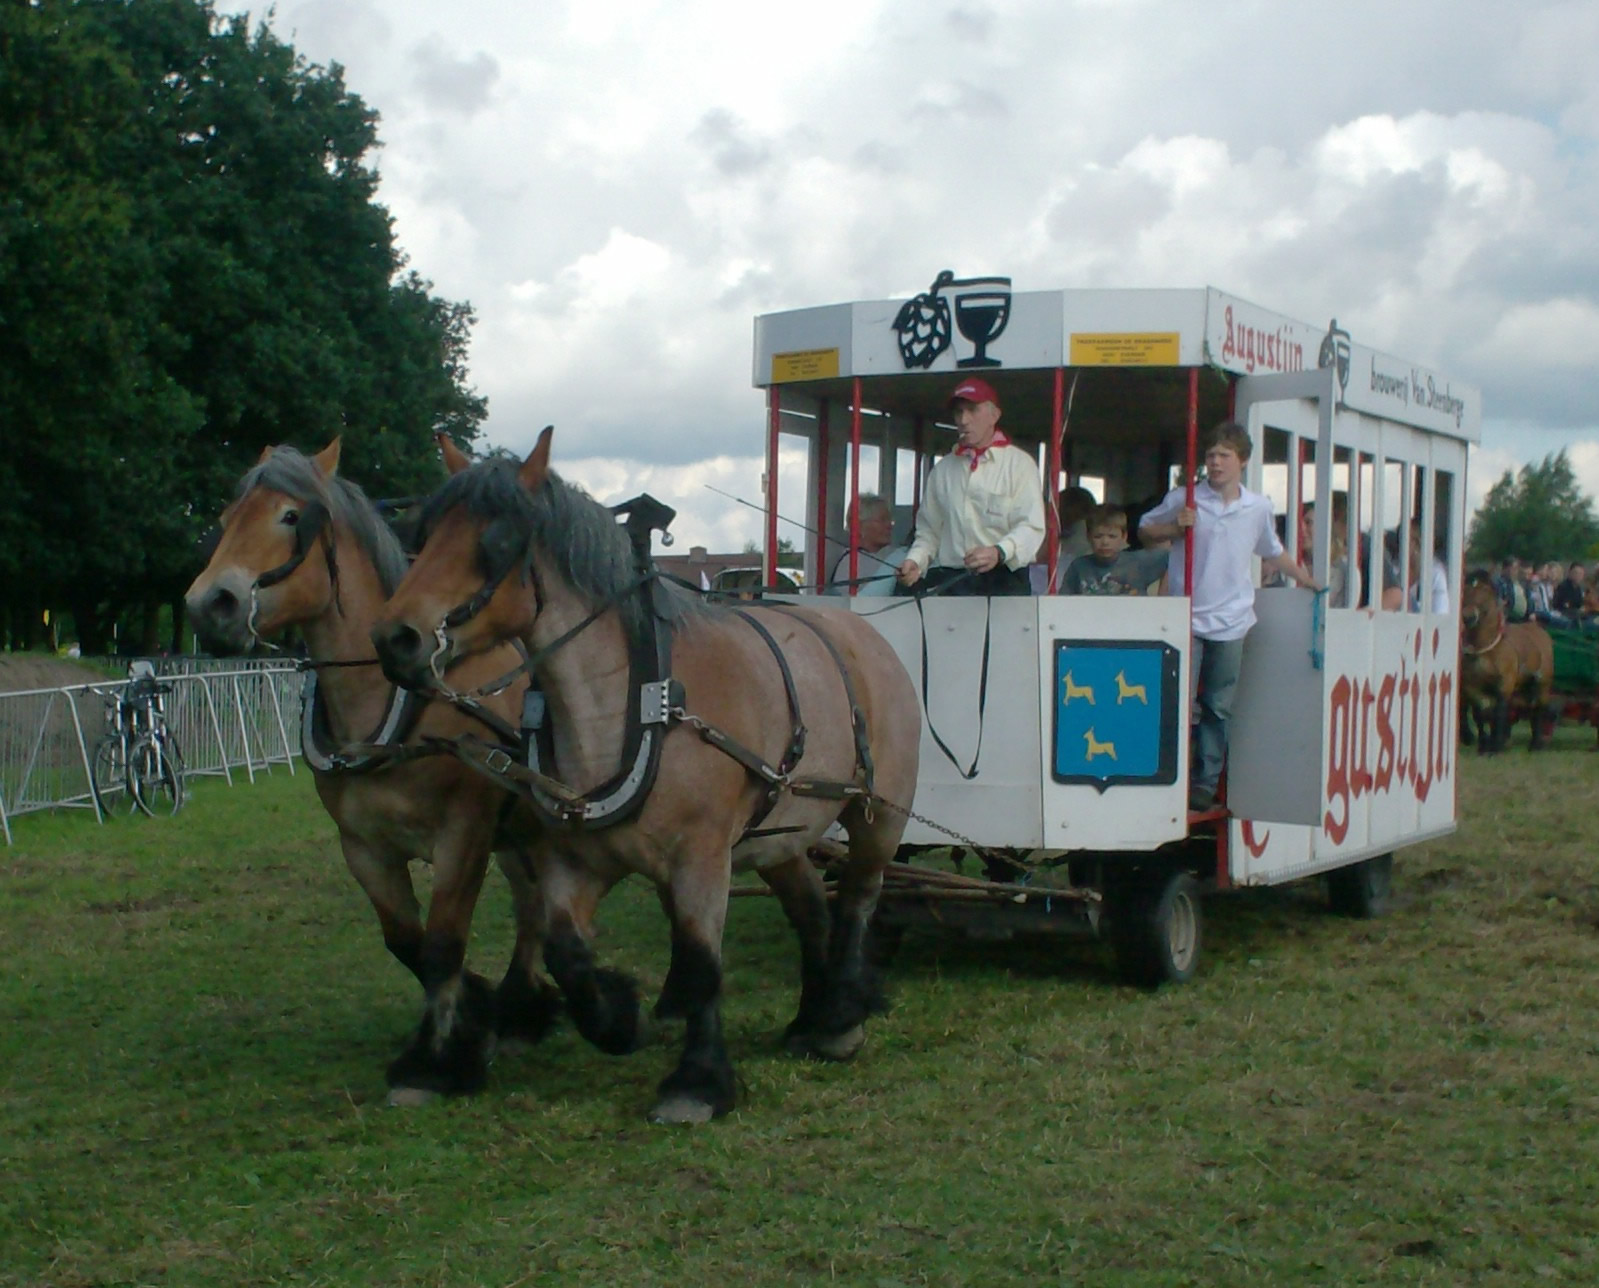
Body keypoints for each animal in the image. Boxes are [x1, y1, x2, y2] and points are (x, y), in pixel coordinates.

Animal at [184, 447, 559, 1112]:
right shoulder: (362, 845)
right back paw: (521, 1009)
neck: (395, 707)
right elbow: (405, 941)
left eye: (290, 517)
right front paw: (474, 1012)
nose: (208, 605)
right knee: (530, 900)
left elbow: (441, 942)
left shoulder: (464, 834)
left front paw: (439, 1063)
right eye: (225, 518)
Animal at [367, 428, 921, 1125]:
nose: (396, 639)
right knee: (811, 910)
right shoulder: (576, 861)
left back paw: (842, 1019)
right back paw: (809, 1018)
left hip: (878, 816)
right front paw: (619, 1018)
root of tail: (859, 631)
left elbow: (702, 962)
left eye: (496, 539)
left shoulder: (702, 858)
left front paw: (697, 1082)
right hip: (779, 835)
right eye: (424, 533)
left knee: (857, 903)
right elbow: (567, 952)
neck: (638, 707)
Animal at [1464, 575, 1547, 757]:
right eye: (1466, 590)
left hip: (1543, 684)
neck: (1487, 649)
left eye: (1485, 592)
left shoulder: (1504, 684)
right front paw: (1484, 746)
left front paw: (1495, 747)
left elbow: (1498, 712)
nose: (1468, 617)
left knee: (1538, 708)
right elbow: (1480, 714)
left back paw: (1536, 744)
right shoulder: (1473, 687)